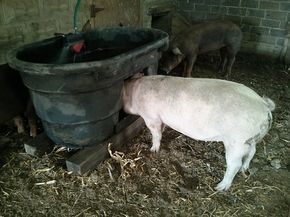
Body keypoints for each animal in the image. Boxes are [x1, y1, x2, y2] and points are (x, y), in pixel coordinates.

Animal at [121, 75, 276, 191]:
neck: (134, 93)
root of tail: (264, 105)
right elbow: (162, 130)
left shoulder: (151, 117)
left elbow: (156, 134)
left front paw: (153, 150)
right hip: (250, 139)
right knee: (252, 152)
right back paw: (245, 169)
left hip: (237, 141)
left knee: (235, 164)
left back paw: (220, 187)